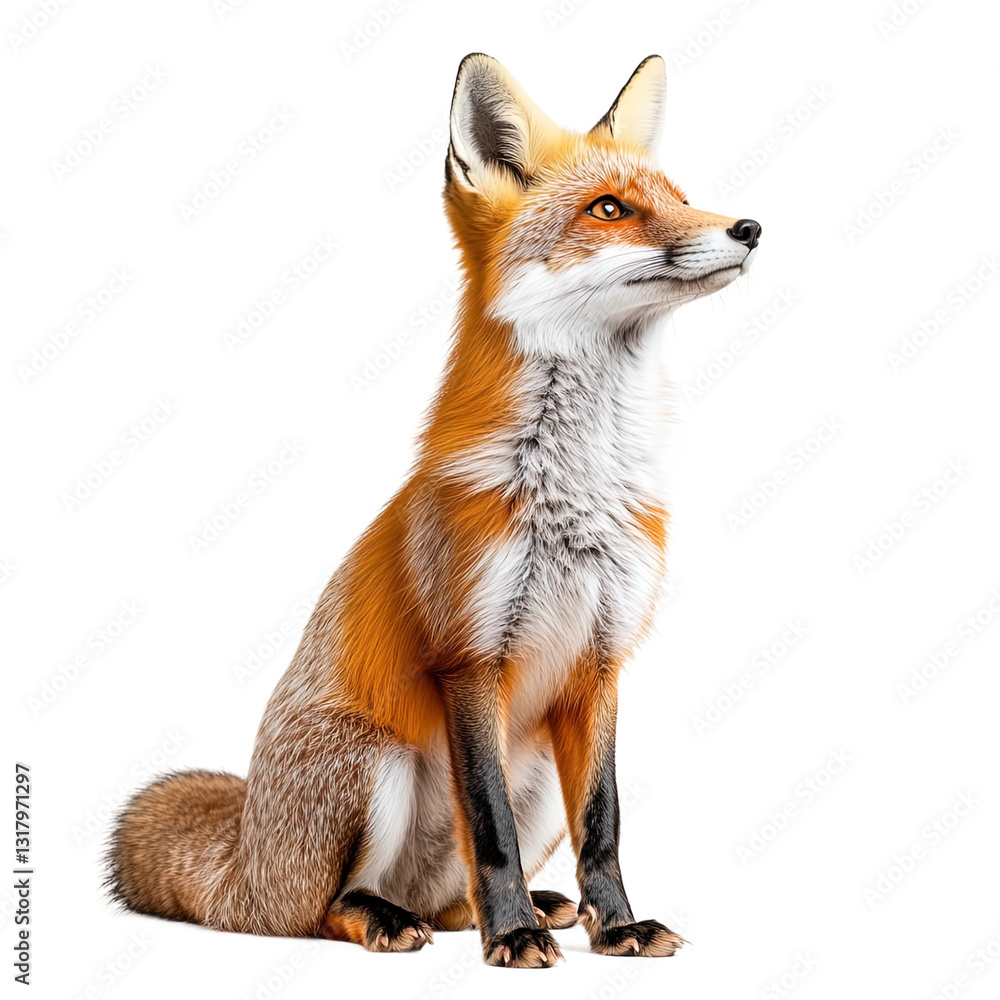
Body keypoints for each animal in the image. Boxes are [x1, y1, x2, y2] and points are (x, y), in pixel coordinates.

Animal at [106, 52, 761, 968]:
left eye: (678, 194)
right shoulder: (468, 655)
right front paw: (513, 936)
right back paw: (397, 918)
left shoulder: (600, 664)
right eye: (609, 209)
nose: (750, 227)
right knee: (327, 909)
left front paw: (616, 924)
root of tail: (243, 866)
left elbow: (604, 824)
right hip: (372, 764)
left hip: (536, 773)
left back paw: (536, 906)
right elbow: (488, 828)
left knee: (451, 899)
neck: (577, 494)